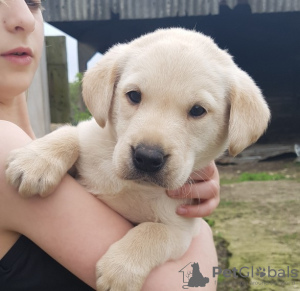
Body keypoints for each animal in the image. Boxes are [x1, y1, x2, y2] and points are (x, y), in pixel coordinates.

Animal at [6, 28, 270, 291]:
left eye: (198, 110)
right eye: (133, 95)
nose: (147, 157)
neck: (134, 187)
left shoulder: (183, 230)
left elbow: (153, 230)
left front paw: (120, 270)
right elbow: (72, 133)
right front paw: (37, 161)